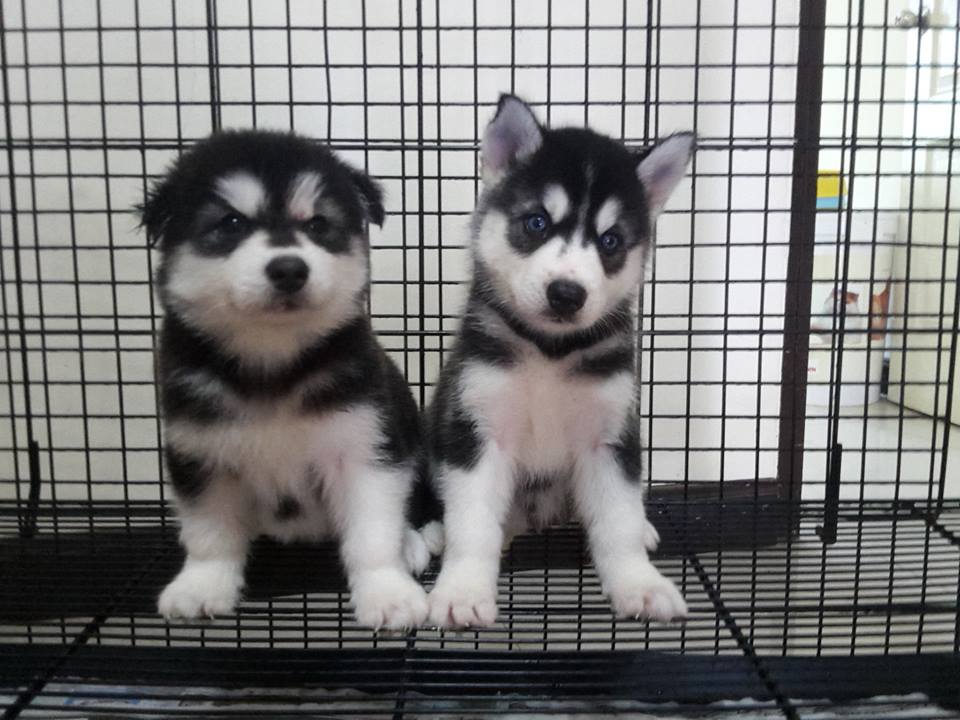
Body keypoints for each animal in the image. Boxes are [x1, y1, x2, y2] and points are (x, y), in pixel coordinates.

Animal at [141, 130, 436, 630]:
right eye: (231, 223)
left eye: (317, 225)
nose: (289, 269)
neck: (272, 362)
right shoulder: (200, 452)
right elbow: (209, 533)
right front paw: (201, 586)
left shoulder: (364, 446)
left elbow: (373, 532)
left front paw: (387, 591)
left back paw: (411, 543)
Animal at [426, 95, 694, 628]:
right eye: (537, 223)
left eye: (611, 241)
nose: (567, 294)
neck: (550, 352)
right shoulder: (476, 428)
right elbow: (473, 522)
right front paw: (463, 589)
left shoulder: (609, 435)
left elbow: (617, 519)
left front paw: (639, 583)